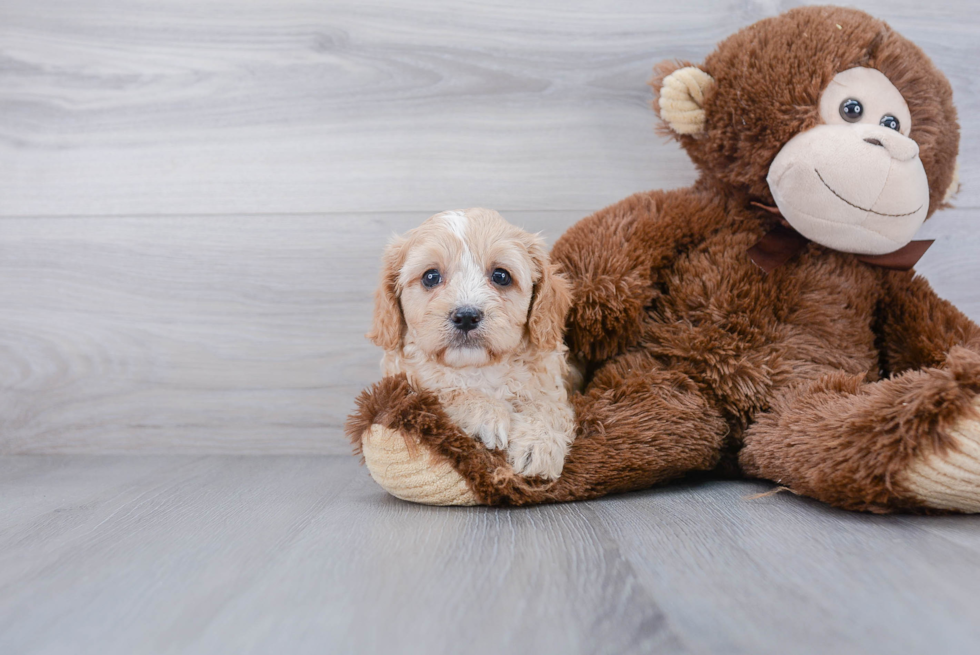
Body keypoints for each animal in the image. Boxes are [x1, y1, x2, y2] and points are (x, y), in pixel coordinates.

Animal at [372, 208, 580, 480]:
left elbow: (549, 405)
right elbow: (443, 391)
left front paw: (538, 444)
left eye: (501, 276)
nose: (466, 316)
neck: (478, 368)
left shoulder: (551, 383)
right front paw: (487, 414)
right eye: (431, 277)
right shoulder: (404, 383)